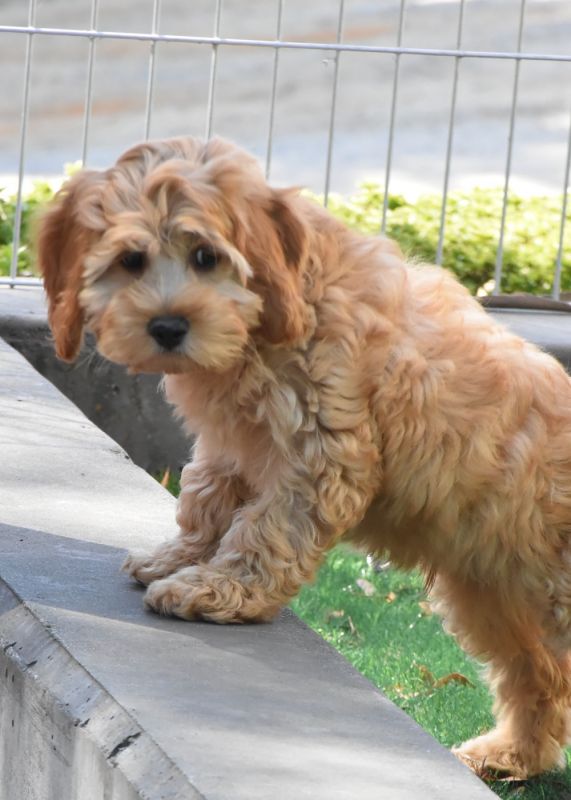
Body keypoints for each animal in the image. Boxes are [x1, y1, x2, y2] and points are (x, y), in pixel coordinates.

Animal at [37, 135, 571, 779]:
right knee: (538, 670)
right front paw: (178, 558)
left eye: (206, 257)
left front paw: (218, 590)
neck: (277, 311)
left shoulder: (325, 452)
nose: (167, 326)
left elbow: (268, 529)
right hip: (497, 587)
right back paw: (512, 753)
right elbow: (207, 495)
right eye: (131, 260)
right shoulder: (234, 444)